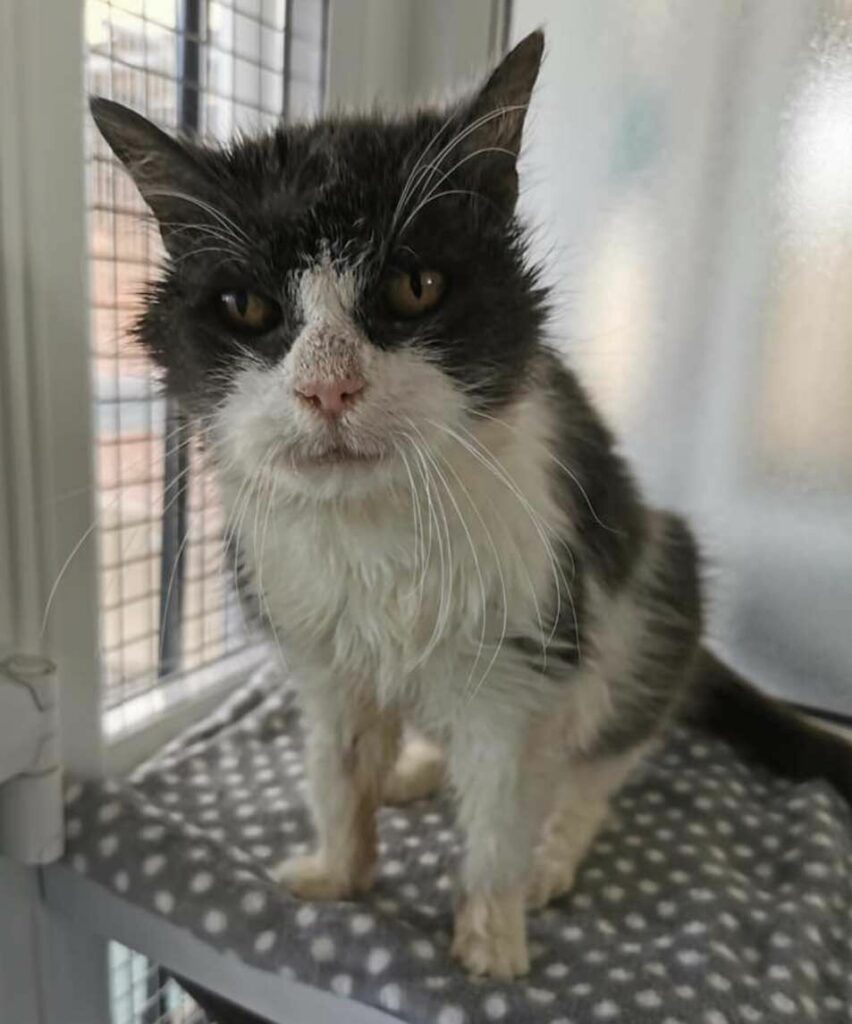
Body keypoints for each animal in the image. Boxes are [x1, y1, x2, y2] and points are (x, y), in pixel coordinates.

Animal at [93, 28, 852, 978]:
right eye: (248, 306)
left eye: (415, 288)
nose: (328, 388)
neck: (375, 527)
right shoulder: (323, 659)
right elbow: (336, 771)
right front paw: (339, 873)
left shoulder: (532, 649)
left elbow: (500, 817)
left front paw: (490, 942)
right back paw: (417, 765)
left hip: (655, 591)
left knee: (601, 757)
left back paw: (552, 854)